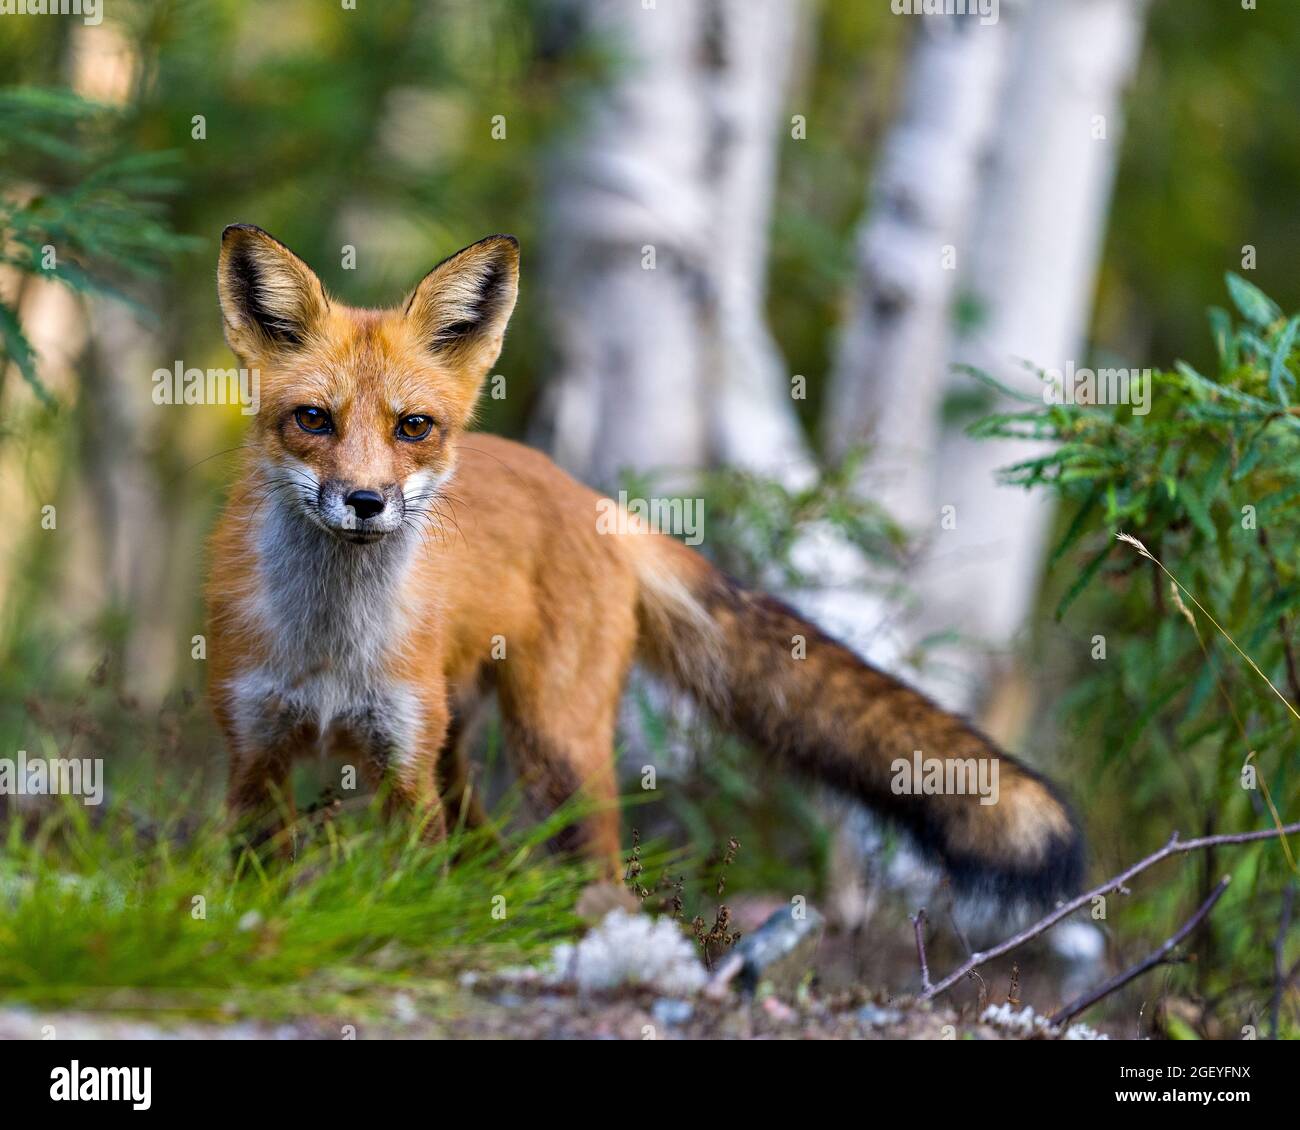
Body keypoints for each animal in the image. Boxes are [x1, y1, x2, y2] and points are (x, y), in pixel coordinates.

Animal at [206, 223, 1084, 907]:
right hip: (468, 747)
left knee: (589, 869)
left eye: (413, 426)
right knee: (484, 846)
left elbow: (405, 887)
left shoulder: (403, 765)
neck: (331, 648)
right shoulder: (253, 754)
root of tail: (588, 497)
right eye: (313, 419)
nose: (365, 501)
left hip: (555, 749)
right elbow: (254, 882)